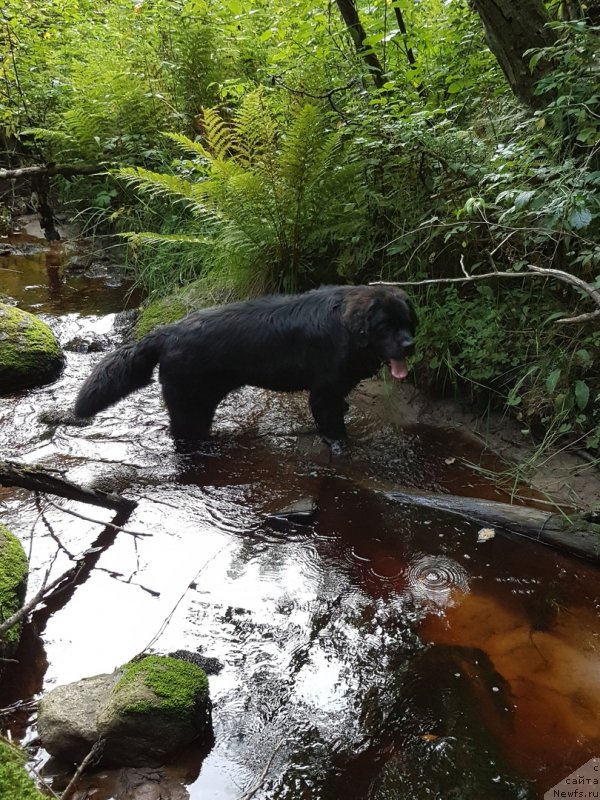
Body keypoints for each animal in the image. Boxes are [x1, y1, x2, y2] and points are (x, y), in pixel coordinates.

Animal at [75, 286, 414, 450]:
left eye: (408, 321)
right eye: (384, 326)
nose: (410, 344)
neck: (347, 330)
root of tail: (166, 332)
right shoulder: (323, 395)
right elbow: (334, 429)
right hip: (190, 407)